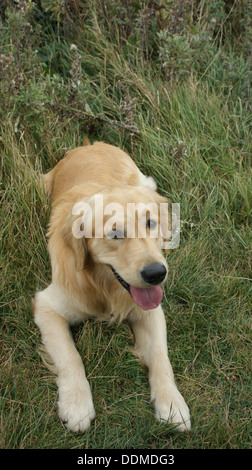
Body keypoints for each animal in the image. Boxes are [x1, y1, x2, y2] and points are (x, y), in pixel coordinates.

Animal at [33, 140, 191, 434]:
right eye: (115, 233)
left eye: (150, 223)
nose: (156, 274)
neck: (104, 287)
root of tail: (91, 144)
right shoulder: (47, 306)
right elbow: (70, 356)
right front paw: (76, 404)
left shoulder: (151, 312)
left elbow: (161, 357)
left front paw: (172, 403)